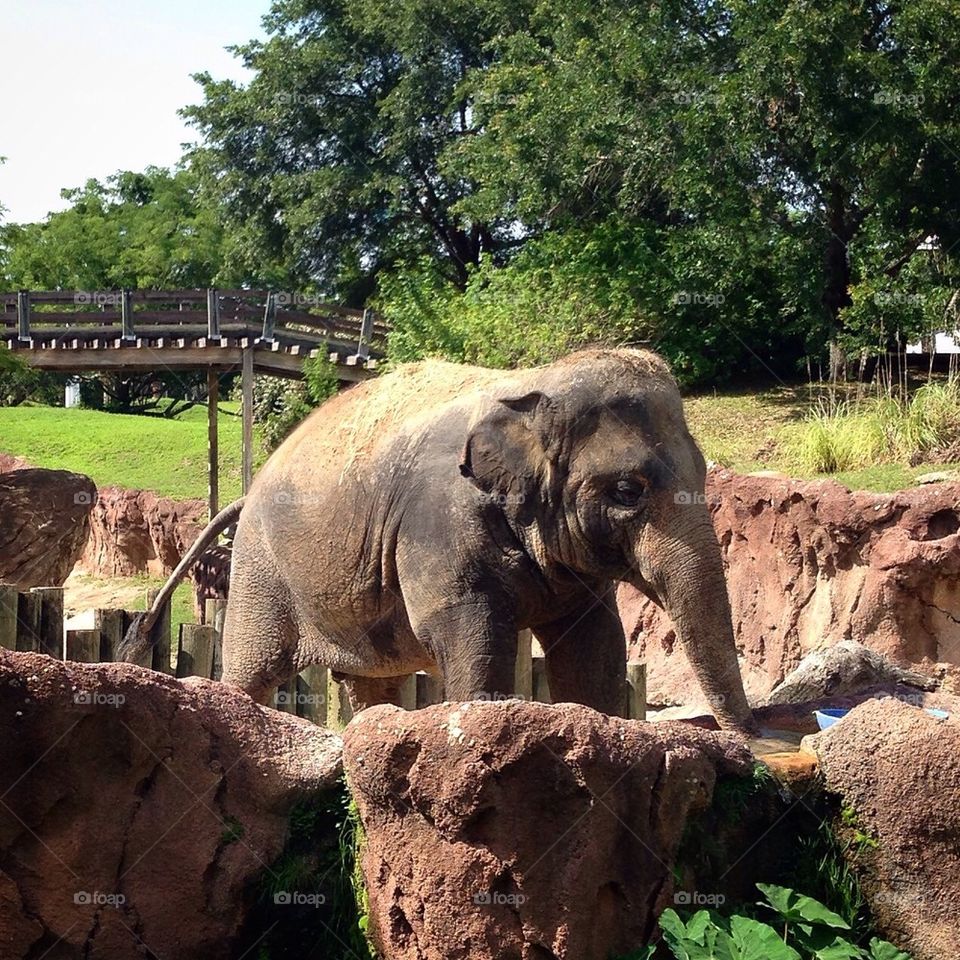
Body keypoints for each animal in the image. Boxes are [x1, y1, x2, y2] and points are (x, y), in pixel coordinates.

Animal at [121, 348, 755, 733]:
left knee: (372, 682)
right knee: (253, 669)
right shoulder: (438, 523)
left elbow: (595, 639)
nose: (752, 749)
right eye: (627, 489)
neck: (532, 386)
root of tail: (247, 492)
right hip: (261, 568)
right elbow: (470, 631)